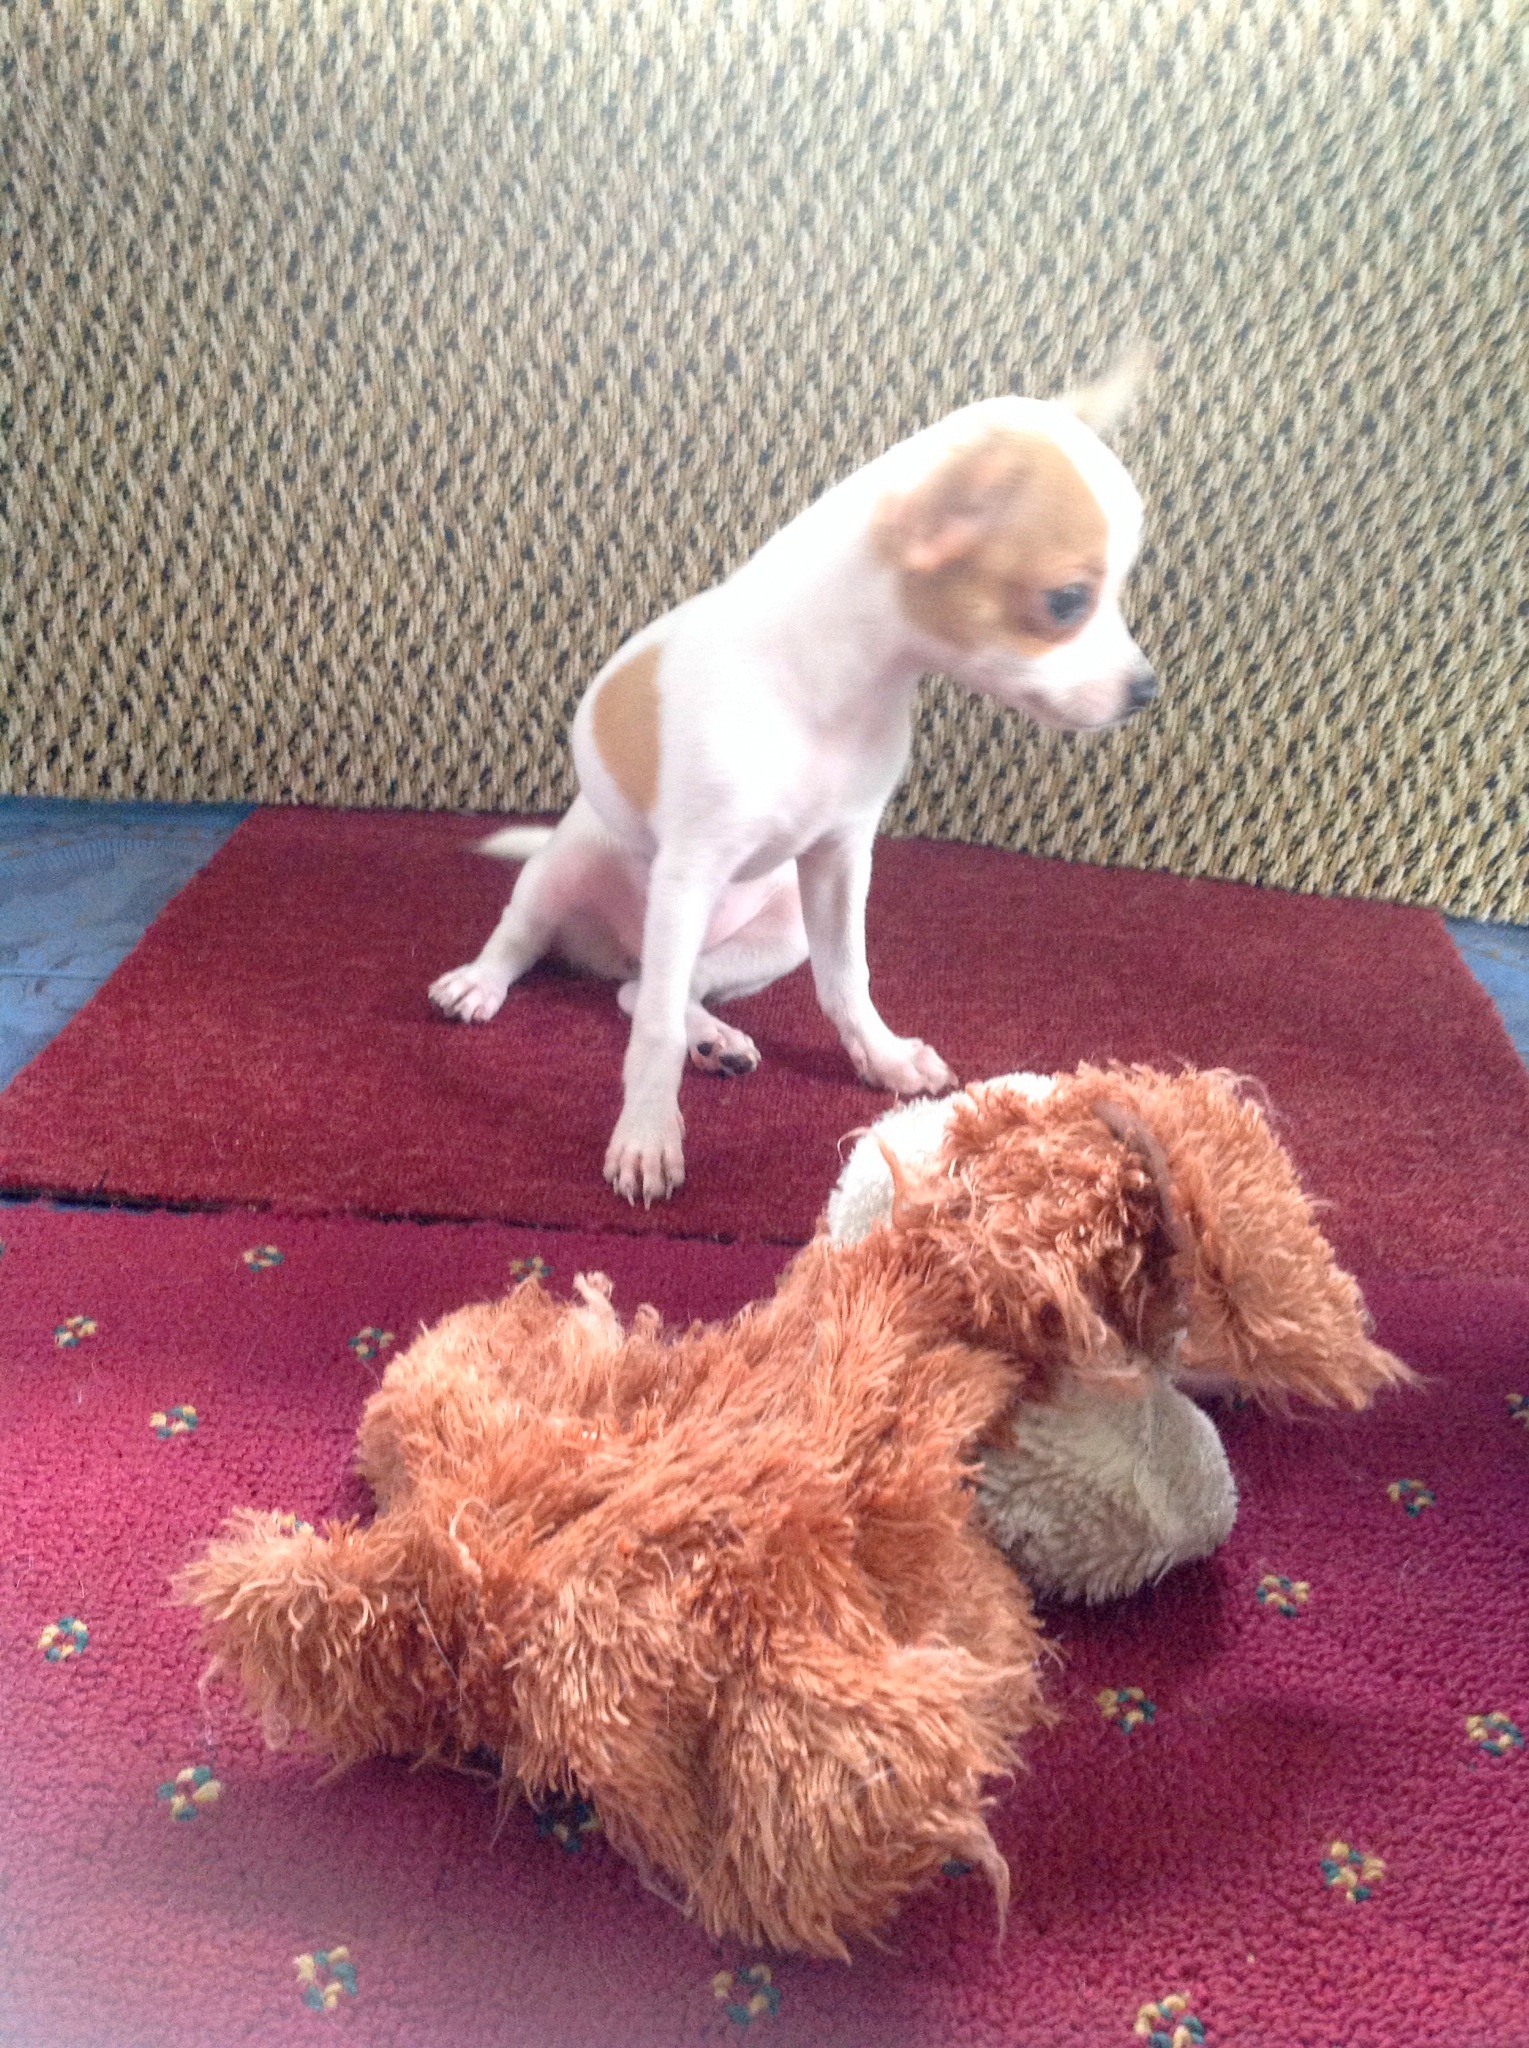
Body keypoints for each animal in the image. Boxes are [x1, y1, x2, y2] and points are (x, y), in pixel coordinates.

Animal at [430, 360, 1156, 1202]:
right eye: (1066, 601)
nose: (1145, 691)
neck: (836, 688)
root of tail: (611, 945)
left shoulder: (839, 861)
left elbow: (846, 979)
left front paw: (880, 1055)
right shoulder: (691, 870)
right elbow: (652, 1036)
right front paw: (646, 1135)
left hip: (774, 937)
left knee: (649, 989)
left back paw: (715, 1038)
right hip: (566, 869)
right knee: (541, 946)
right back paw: (481, 984)